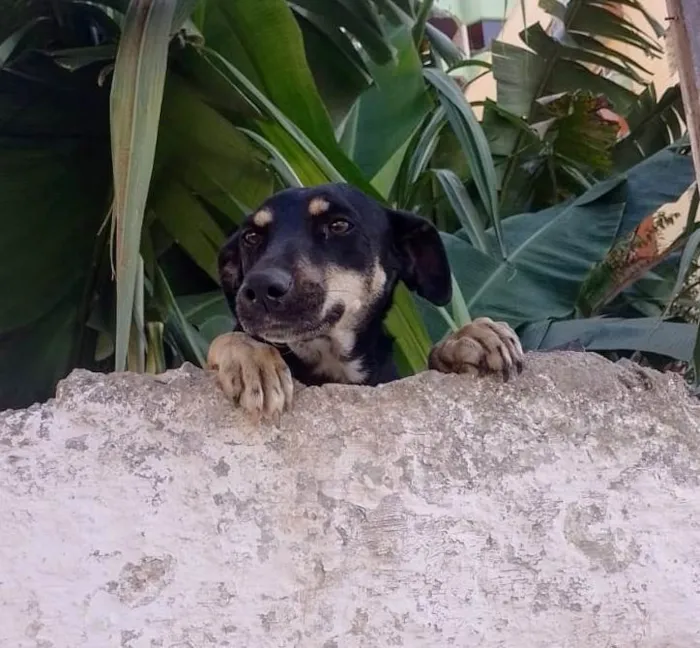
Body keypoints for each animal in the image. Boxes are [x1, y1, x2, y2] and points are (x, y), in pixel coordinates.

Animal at [205, 185, 524, 422]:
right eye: (251, 236)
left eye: (339, 225)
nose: (259, 287)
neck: (331, 358)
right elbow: (231, 339)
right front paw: (253, 359)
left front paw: (469, 337)